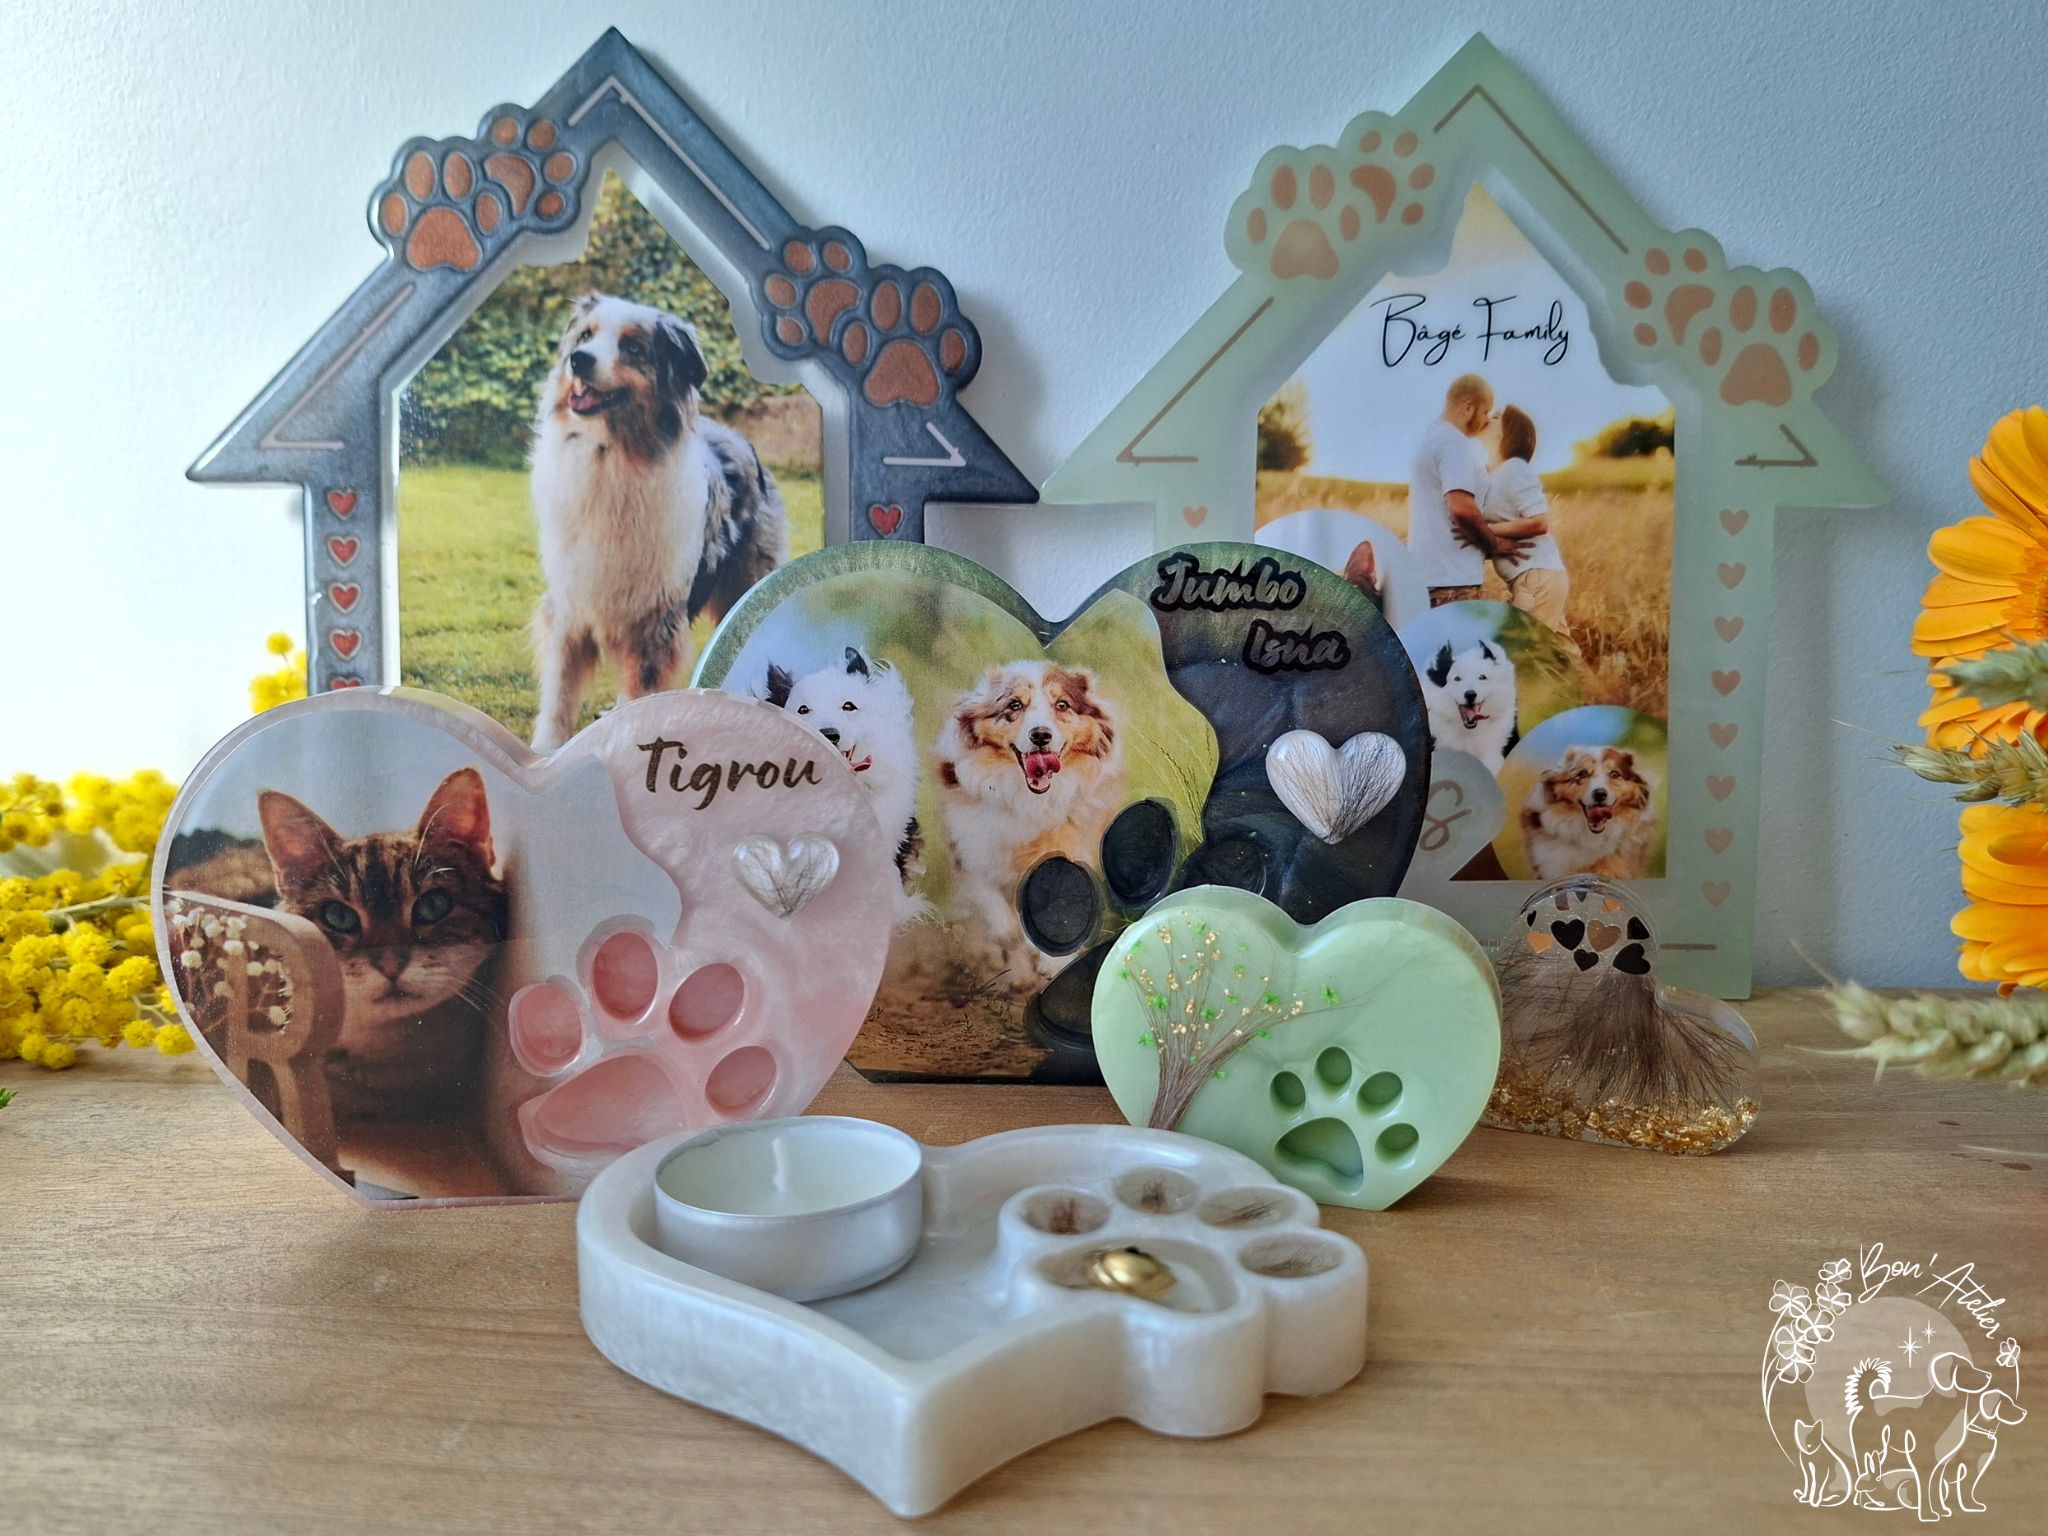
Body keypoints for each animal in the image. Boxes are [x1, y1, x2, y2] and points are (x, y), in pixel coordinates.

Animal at [528, 293, 787, 750]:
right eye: (585, 336)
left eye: (633, 348)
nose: (578, 360)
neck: (610, 456)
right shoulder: (571, 603)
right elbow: (560, 689)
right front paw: (546, 750)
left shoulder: (655, 615)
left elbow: (642, 687)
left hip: (745, 580)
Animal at [934, 661, 1124, 990]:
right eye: (1014, 705)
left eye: (1062, 704)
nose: (1041, 735)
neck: (1029, 800)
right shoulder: (972, 856)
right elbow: (1002, 923)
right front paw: (1024, 957)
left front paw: (1053, 962)